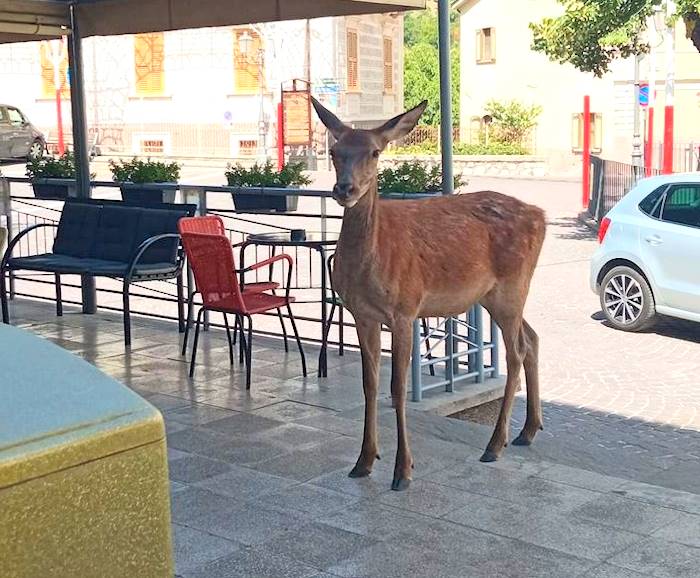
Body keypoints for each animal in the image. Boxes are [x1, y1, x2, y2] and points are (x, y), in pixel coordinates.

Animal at [312, 97, 548, 488]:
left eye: (375, 152)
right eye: (334, 151)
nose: (344, 189)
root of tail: (541, 215)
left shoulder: (404, 309)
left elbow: (397, 388)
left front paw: (402, 470)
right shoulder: (362, 314)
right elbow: (369, 384)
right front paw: (364, 461)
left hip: (513, 284)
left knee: (516, 351)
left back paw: (494, 445)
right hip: (496, 295)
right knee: (533, 338)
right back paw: (527, 431)